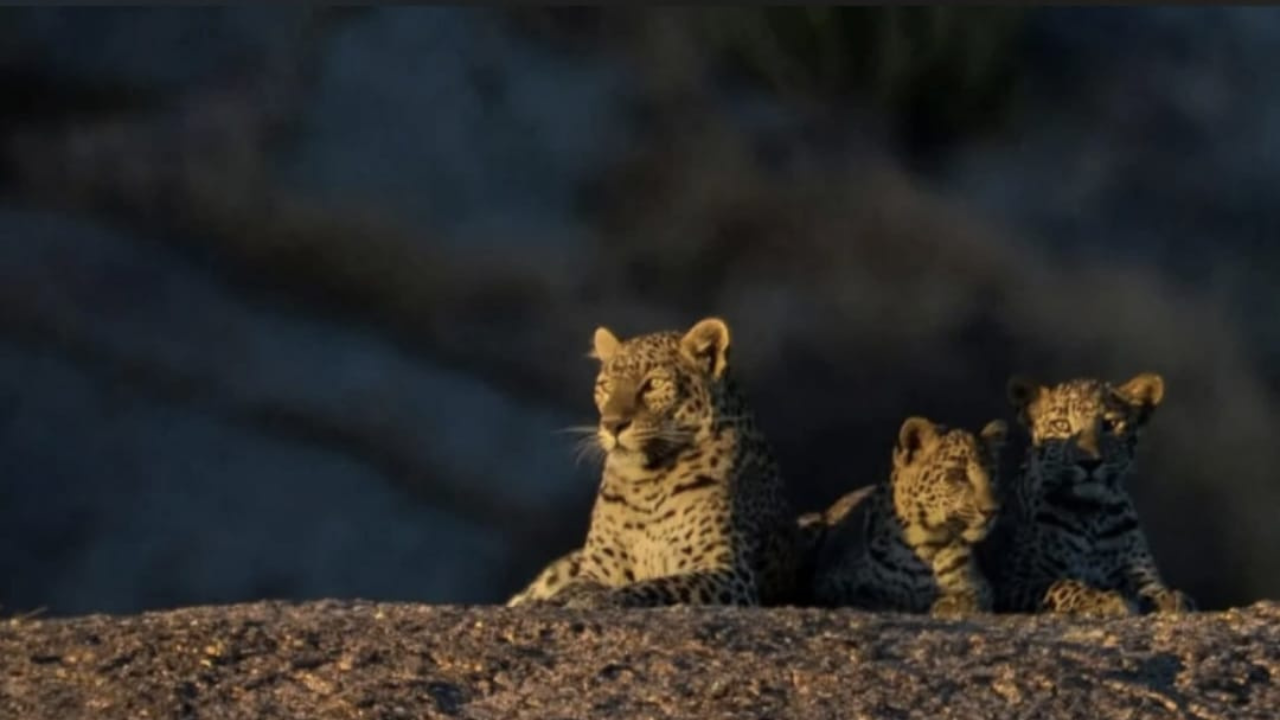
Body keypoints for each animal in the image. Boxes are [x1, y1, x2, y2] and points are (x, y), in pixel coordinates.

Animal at [507, 316, 798, 609]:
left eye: (654, 384)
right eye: (606, 386)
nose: (612, 425)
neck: (646, 483)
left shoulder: (728, 571)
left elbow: (660, 585)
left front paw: (600, 599)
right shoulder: (597, 569)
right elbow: (573, 588)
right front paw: (559, 600)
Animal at [809, 416, 1007, 617]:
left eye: (992, 475)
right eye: (957, 475)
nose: (993, 511)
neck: (924, 544)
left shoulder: (979, 588)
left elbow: (964, 600)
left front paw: (942, 605)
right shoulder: (830, 584)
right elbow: (869, 595)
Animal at [979, 372, 1195, 617]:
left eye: (1110, 425)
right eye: (1061, 425)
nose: (1089, 462)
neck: (1092, 516)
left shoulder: (1140, 571)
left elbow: (1155, 588)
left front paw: (1172, 599)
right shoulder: (1017, 582)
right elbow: (1063, 585)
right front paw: (1106, 600)